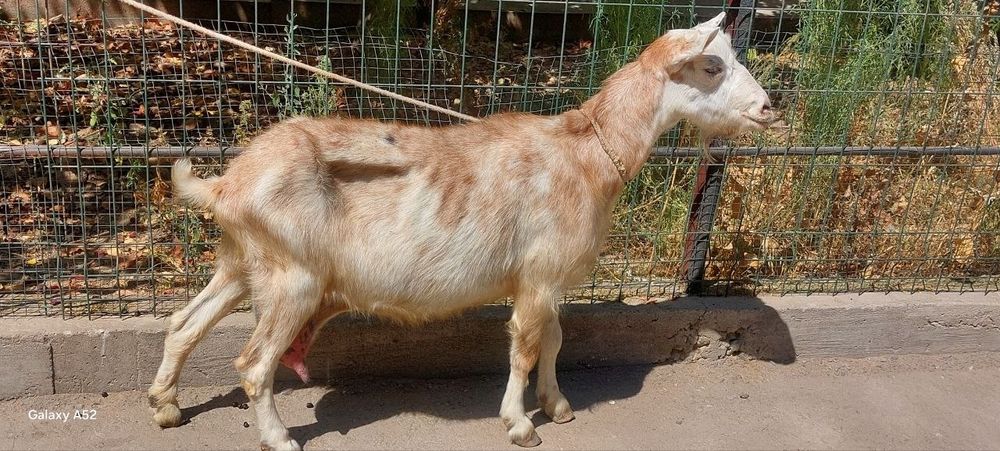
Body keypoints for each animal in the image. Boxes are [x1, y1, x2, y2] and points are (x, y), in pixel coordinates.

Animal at [147, 13, 775, 450]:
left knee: (184, 324)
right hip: (292, 277)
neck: (585, 153)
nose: (768, 108)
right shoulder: (539, 275)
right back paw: (277, 437)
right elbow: (525, 346)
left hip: (243, 261)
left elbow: (554, 340)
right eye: (712, 66)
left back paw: (165, 404)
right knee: (253, 364)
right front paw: (520, 424)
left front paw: (558, 404)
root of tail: (227, 184)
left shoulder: (545, 279)